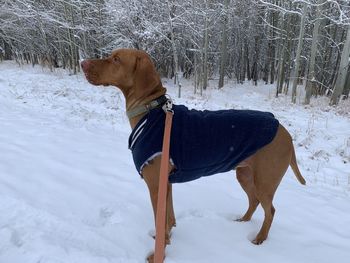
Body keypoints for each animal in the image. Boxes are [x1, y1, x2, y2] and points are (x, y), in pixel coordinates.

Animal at [80, 48, 304, 262]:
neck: (150, 112)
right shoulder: (166, 182)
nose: (83, 63)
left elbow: (161, 219)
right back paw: (243, 221)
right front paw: (165, 239)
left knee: (270, 210)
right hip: (245, 174)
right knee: (254, 201)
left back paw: (259, 238)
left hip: (265, 181)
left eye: (116, 59)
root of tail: (285, 132)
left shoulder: (156, 185)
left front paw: (157, 254)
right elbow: (168, 218)